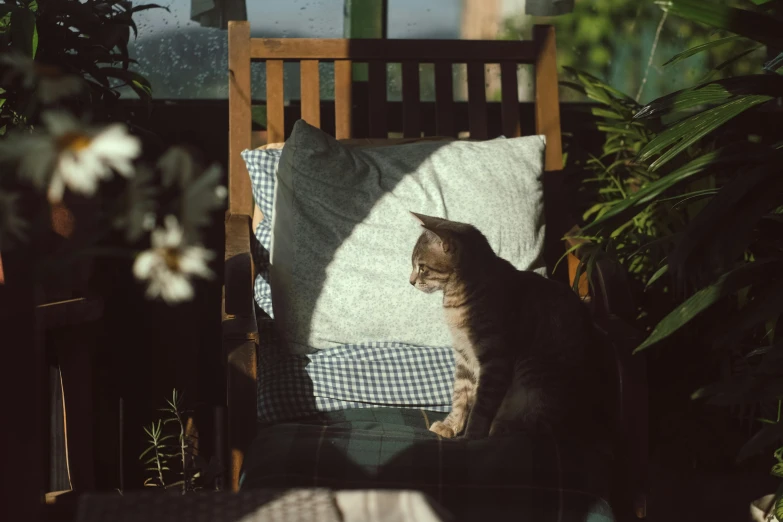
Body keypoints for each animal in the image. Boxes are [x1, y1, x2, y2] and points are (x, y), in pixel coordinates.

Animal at [410, 211, 608, 438]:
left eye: (421, 267)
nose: (411, 281)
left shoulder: (496, 360)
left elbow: (481, 408)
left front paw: (470, 437)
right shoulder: (464, 355)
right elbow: (460, 394)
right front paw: (450, 425)